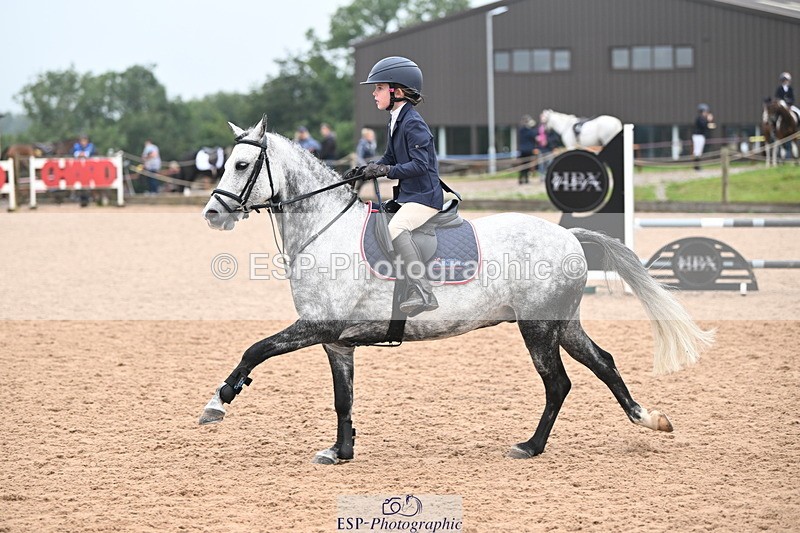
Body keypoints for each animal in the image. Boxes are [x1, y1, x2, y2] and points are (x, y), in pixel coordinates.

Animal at [198, 116, 713, 464]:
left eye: (241, 164)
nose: (213, 214)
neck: (325, 231)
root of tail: (568, 234)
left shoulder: (318, 326)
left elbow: (255, 349)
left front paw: (218, 402)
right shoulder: (335, 341)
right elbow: (343, 397)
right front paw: (340, 451)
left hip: (538, 326)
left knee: (558, 382)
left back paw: (531, 446)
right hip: (562, 323)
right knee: (602, 363)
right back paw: (648, 418)